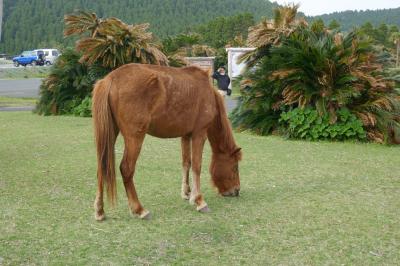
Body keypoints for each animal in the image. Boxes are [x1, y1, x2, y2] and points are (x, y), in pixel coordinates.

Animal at [92, 62, 242, 220]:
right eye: (235, 167)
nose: (236, 190)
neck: (207, 93)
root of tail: (110, 79)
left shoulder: (186, 135)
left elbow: (186, 163)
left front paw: (186, 192)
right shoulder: (199, 134)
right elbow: (197, 166)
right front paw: (199, 200)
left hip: (111, 132)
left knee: (102, 166)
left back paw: (100, 210)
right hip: (135, 137)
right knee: (126, 169)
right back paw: (139, 209)